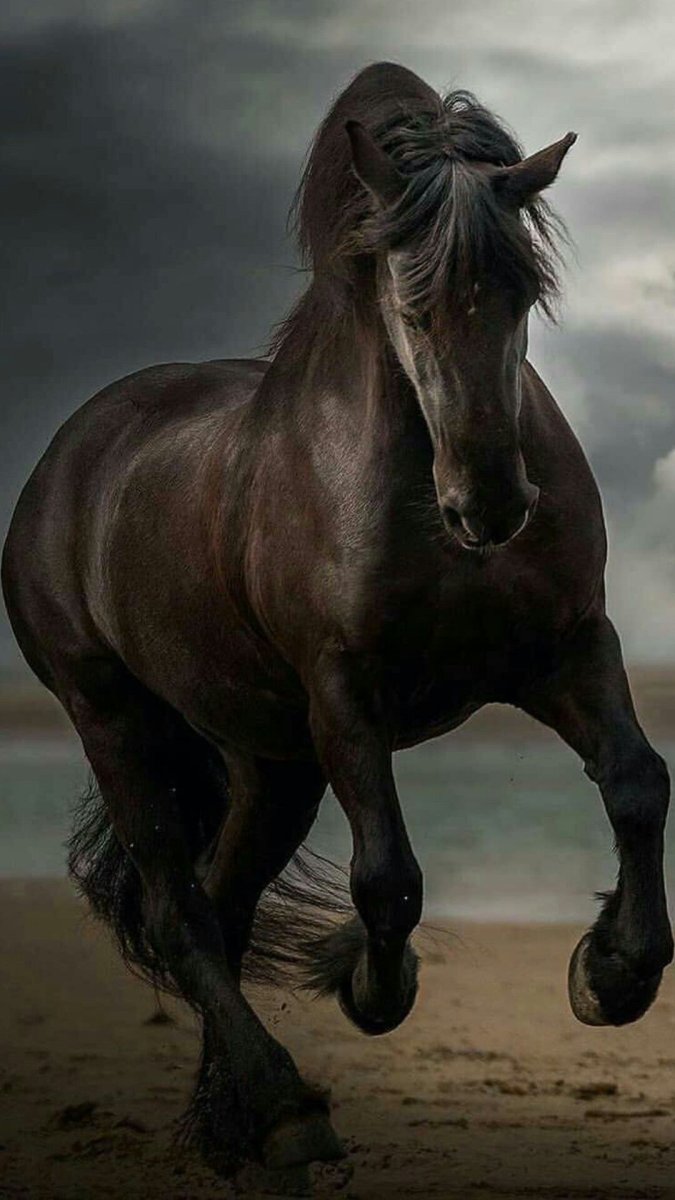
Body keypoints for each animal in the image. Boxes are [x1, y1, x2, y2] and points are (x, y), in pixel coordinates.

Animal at [3, 60, 672, 1183]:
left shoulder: (567, 648)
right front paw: (370, 989)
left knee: (223, 908)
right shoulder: (344, 693)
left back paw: (237, 1130)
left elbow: (635, 784)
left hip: (271, 762)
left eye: (525, 292)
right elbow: (389, 879)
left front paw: (611, 972)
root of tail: (66, 456)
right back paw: (285, 1114)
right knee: (179, 913)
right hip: (118, 721)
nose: (490, 503)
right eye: (408, 301)